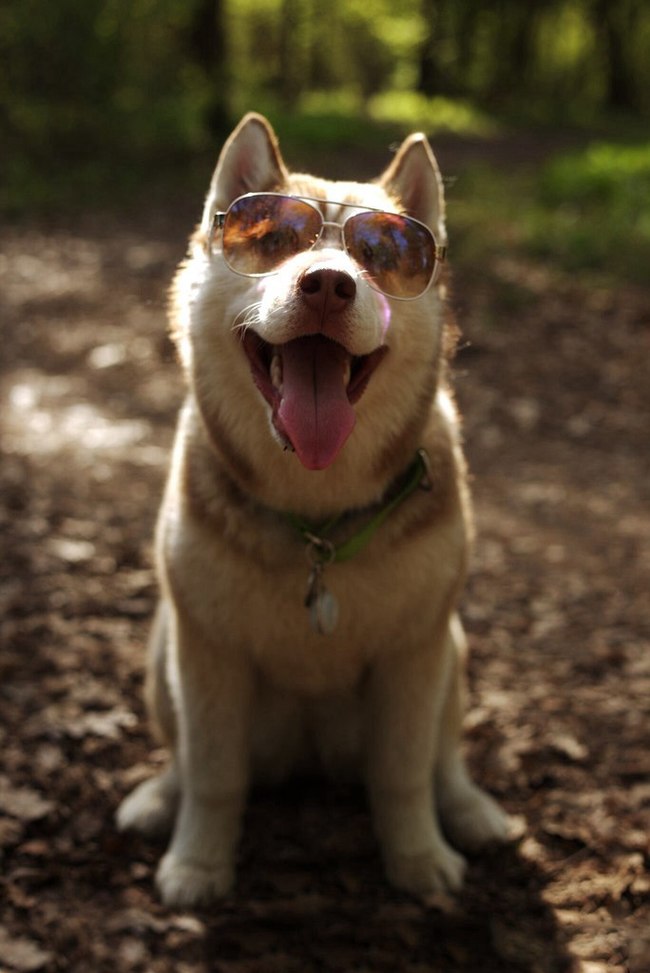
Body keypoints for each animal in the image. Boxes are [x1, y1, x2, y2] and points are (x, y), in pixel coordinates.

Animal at [117, 112, 512, 904]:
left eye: (383, 254)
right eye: (274, 239)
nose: (328, 283)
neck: (315, 516)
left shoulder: (416, 650)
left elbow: (404, 770)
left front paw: (418, 857)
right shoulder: (205, 650)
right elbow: (212, 773)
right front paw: (198, 863)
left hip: (452, 652)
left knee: (443, 758)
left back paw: (469, 809)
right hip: (163, 647)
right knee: (184, 757)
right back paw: (158, 796)